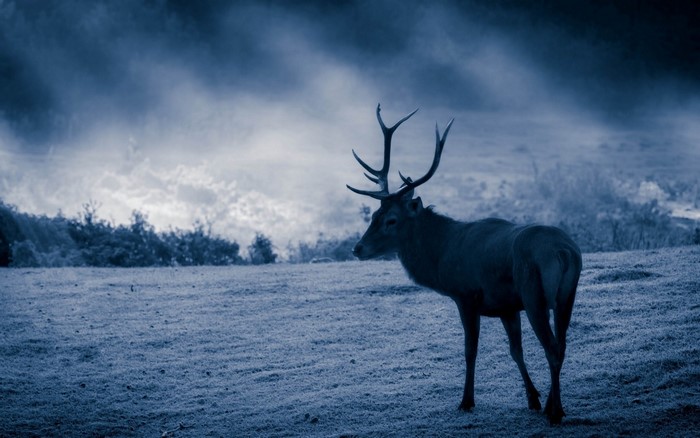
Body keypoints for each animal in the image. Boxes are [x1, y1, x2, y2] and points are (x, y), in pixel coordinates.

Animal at [347, 104, 582, 425]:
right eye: (373, 215)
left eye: (391, 220)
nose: (357, 248)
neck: (442, 257)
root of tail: (563, 252)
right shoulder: (507, 306)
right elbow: (515, 350)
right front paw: (532, 399)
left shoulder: (466, 296)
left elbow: (470, 350)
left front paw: (467, 401)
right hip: (566, 296)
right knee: (562, 344)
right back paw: (550, 405)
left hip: (534, 294)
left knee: (553, 348)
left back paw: (555, 411)